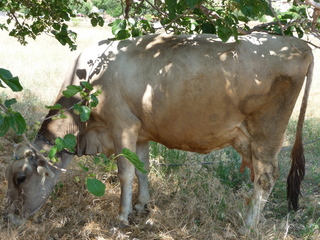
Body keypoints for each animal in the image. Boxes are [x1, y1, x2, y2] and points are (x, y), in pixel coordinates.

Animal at [3, 32, 312, 232]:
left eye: (21, 178)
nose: (9, 219)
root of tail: (299, 44)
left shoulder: (123, 126)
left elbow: (125, 173)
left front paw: (122, 217)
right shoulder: (141, 132)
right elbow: (142, 168)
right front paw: (143, 205)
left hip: (267, 132)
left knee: (266, 176)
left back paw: (249, 225)